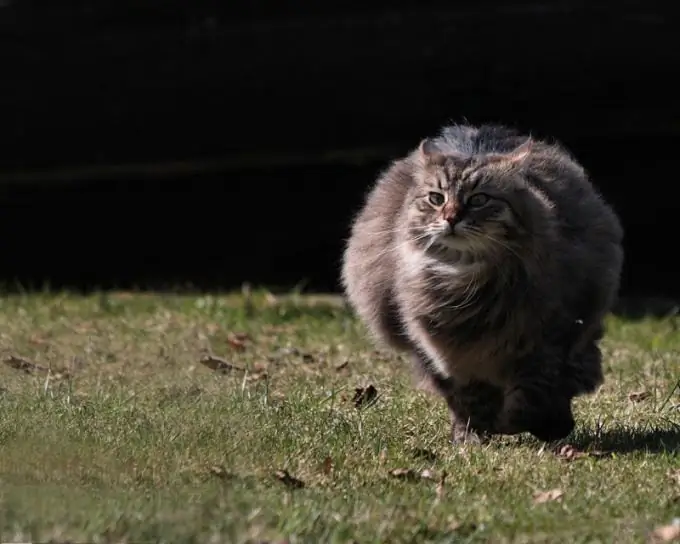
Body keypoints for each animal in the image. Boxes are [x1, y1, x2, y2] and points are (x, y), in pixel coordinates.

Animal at [342, 125, 624, 444]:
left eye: (479, 200)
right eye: (436, 199)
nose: (451, 218)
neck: (463, 282)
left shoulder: (549, 339)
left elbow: (533, 393)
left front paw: (520, 423)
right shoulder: (450, 357)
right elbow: (470, 399)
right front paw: (475, 434)